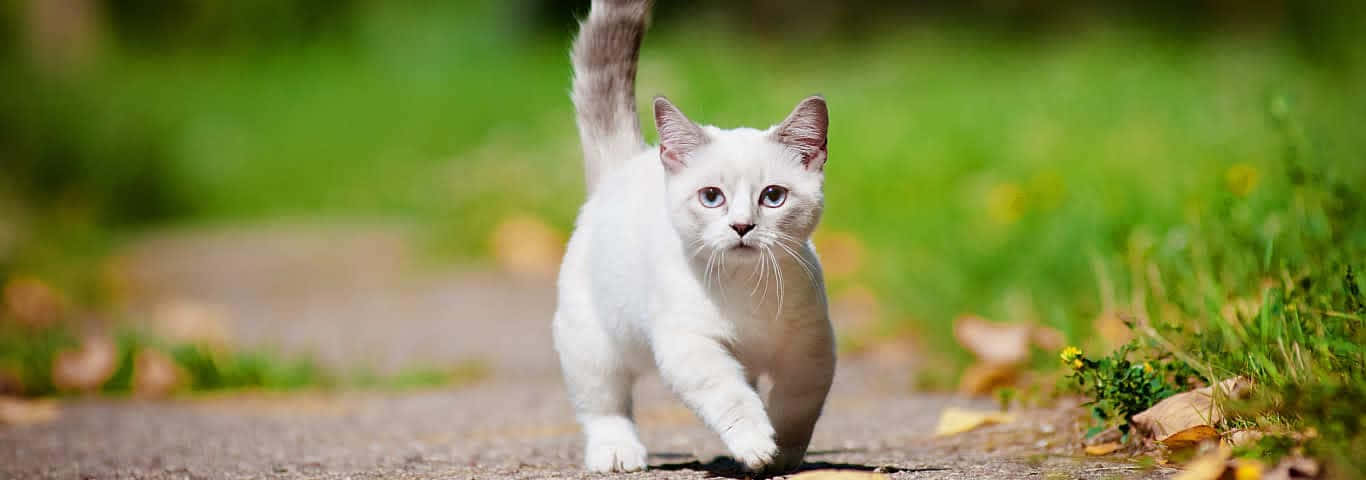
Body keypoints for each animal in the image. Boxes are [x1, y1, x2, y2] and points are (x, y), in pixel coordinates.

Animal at [551, 0, 830, 473]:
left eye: (773, 196)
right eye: (712, 197)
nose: (742, 226)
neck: (746, 293)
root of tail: (629, 161)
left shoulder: (811, 348)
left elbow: (798, 404)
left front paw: (782, 453)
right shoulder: (690, 345)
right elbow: (730, 398)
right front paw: (756, 443)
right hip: (590, 339)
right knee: (604, 404)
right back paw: (616, 451)